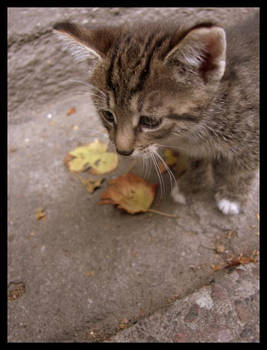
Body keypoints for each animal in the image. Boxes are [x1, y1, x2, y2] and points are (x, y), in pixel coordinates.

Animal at [54, 13, 260, 215]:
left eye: (150, 121)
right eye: (108, 115)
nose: (122, 151)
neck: (191, 133)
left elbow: (246, 166)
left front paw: (233, 196)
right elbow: (197, 161)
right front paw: (193, 184)